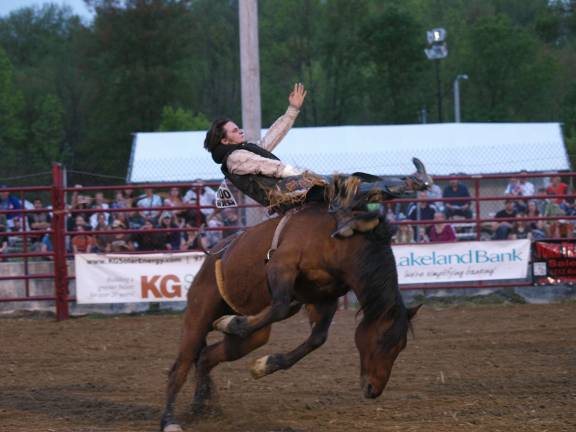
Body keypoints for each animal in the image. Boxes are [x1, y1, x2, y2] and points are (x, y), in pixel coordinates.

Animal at [161, 203, 418, 432]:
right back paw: (169, 420)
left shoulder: (325, 297)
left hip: (252, 337)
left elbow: (317, 338)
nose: (373, 390)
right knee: (180, 367)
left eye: (401, 347)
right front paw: (231, 323)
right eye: (383, 341)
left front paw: (264, 366)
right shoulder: (281, 265)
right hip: (199, 314)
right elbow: (280, 307)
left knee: (207, 356)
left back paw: (201, 407)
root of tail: (212, 256)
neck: (340, 244)